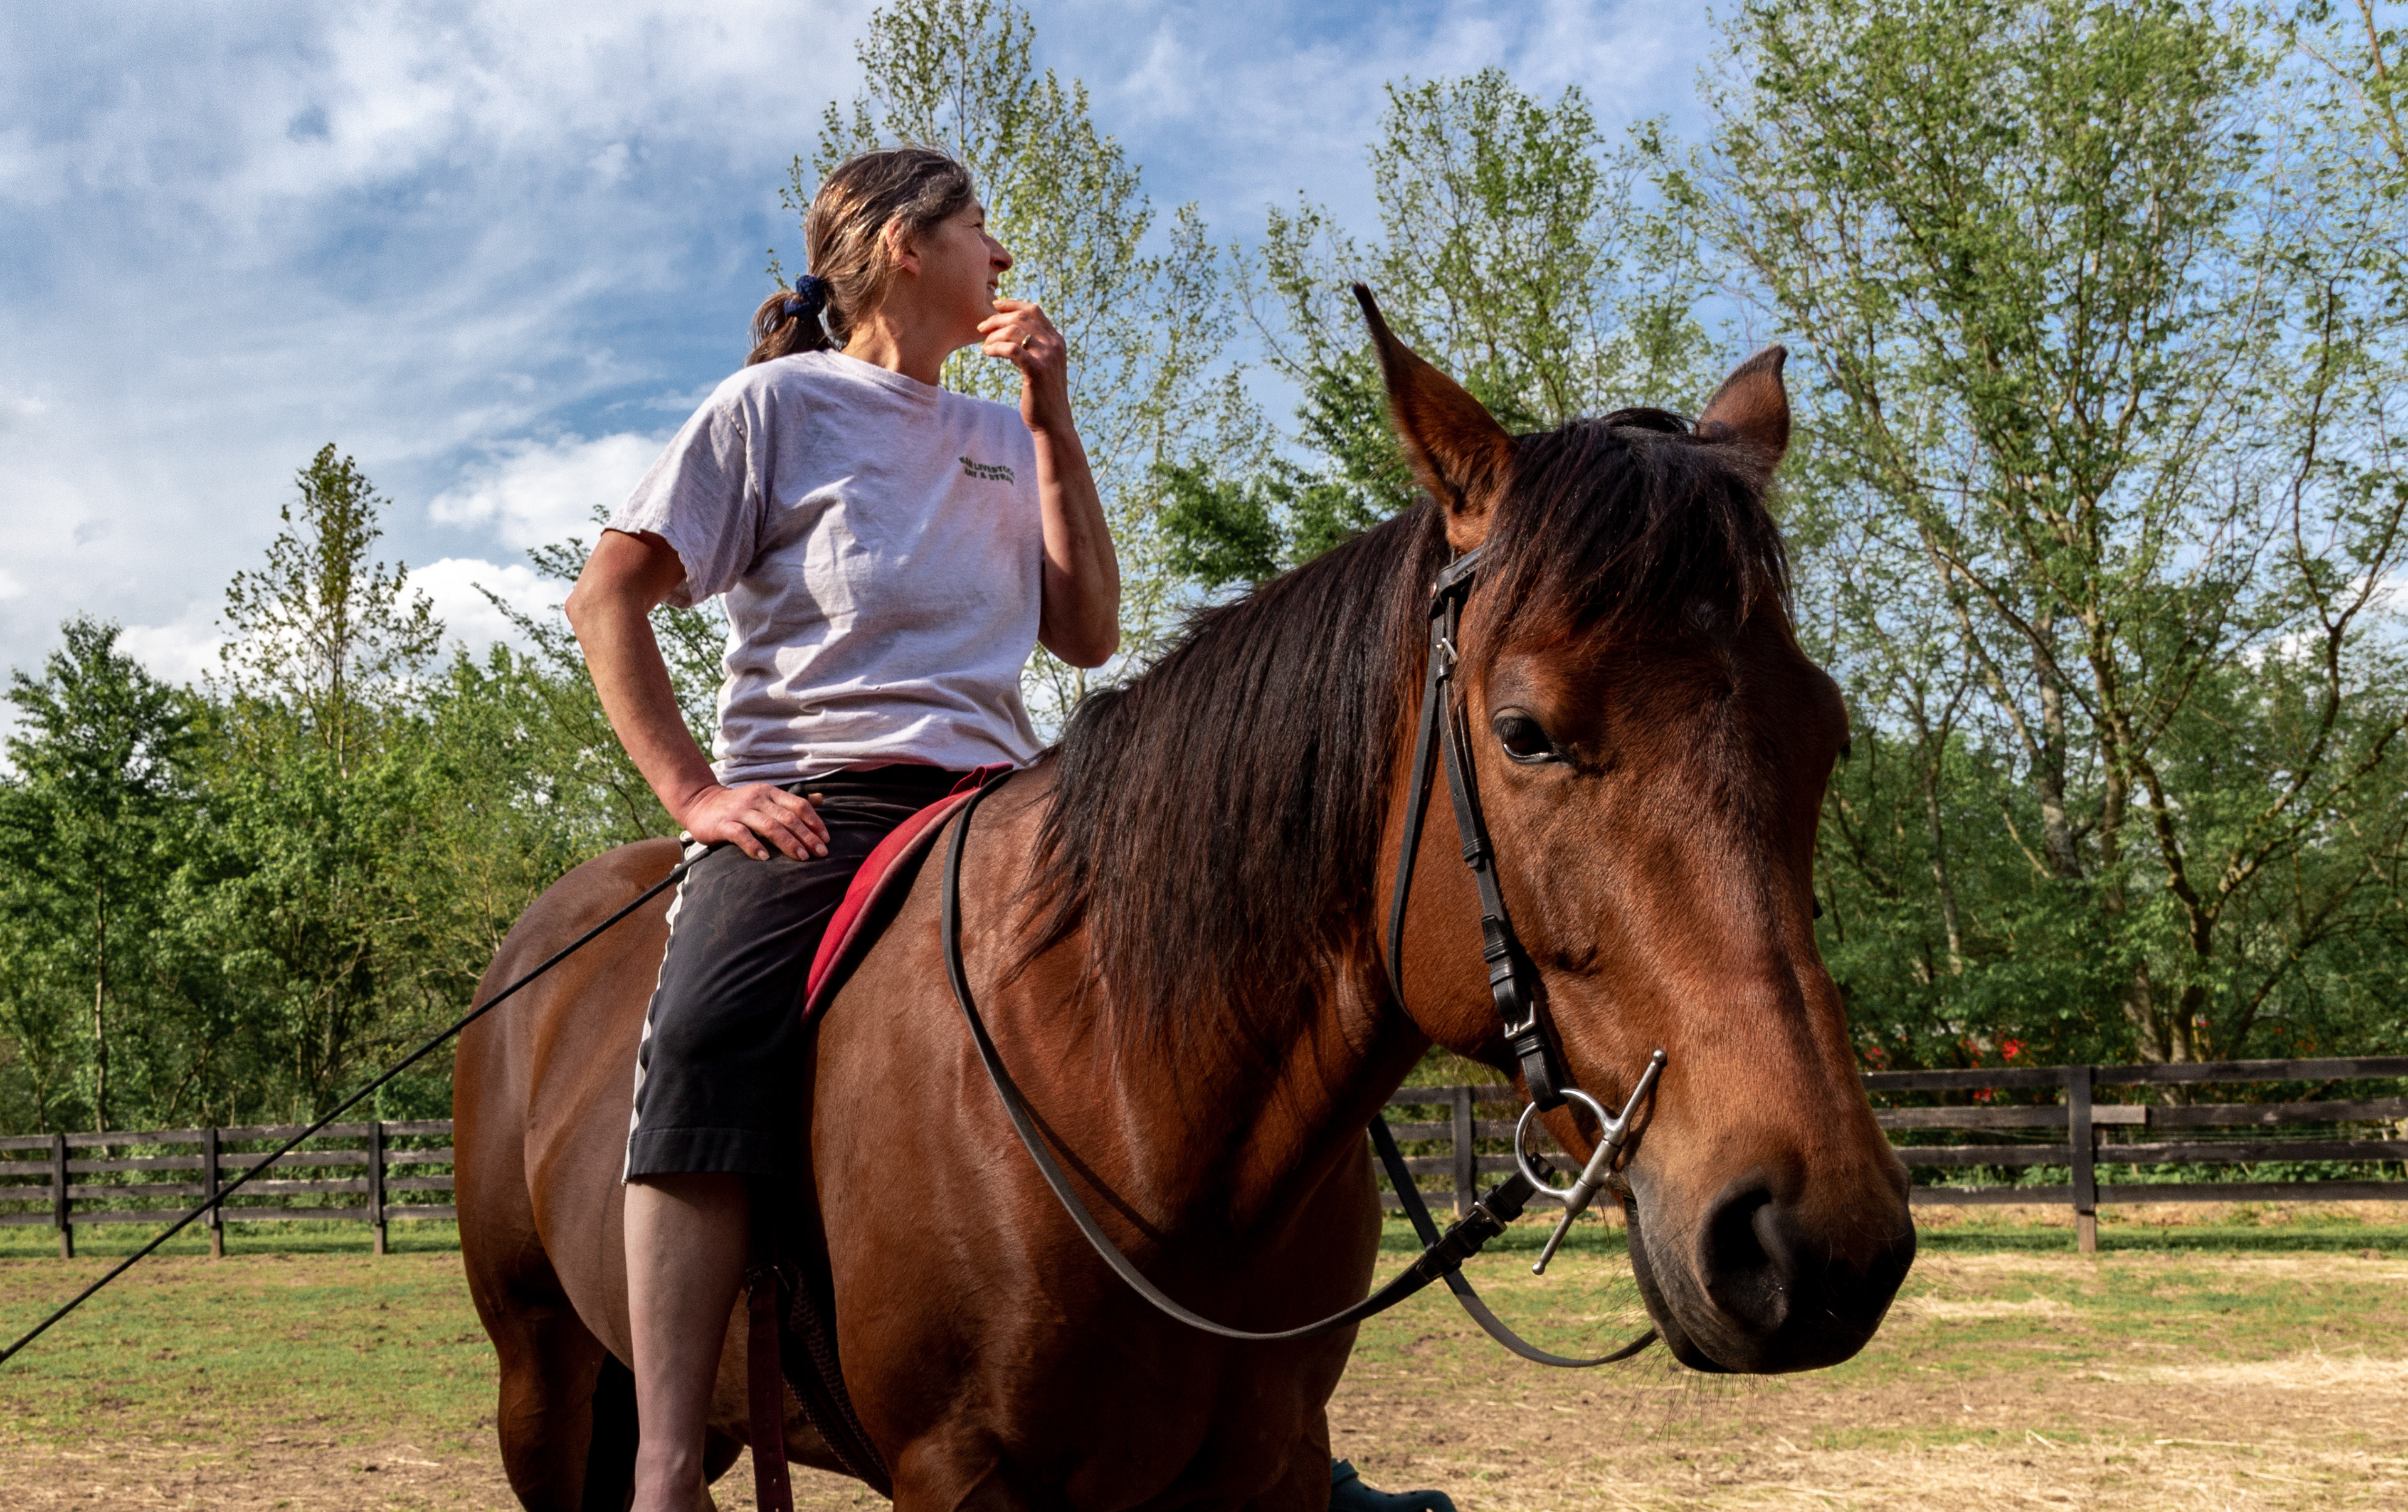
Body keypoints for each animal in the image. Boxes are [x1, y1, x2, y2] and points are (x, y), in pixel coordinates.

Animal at [454, 290, 1916, 1511]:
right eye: (1527, 732)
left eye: (1828, 735)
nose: (1812, 1241)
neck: (1128, 1090)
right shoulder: (957, 1477)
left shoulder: (1267, 1462)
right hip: (549, 1391)